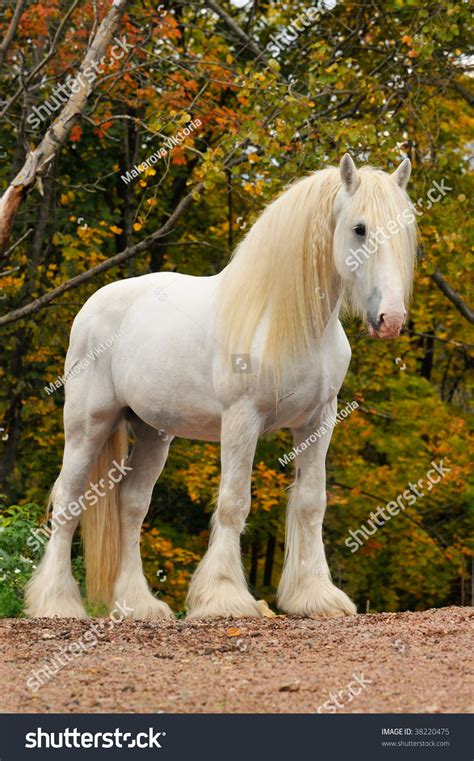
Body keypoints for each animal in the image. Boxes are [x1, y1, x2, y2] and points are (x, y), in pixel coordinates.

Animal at [27, 153, 416, 616]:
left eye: (405, 228)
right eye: (359, 228)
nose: (390, 319)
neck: (282, 318)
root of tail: (92, 306)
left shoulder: (318, 423)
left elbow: (311, 503)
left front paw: (316, 595)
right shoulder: (242, 419)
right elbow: (234, 502)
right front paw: (224, 597)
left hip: (153, 432)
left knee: (132, 506)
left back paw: (139, 605)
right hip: (88, 425)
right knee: (68, 501)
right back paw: (56, 603)